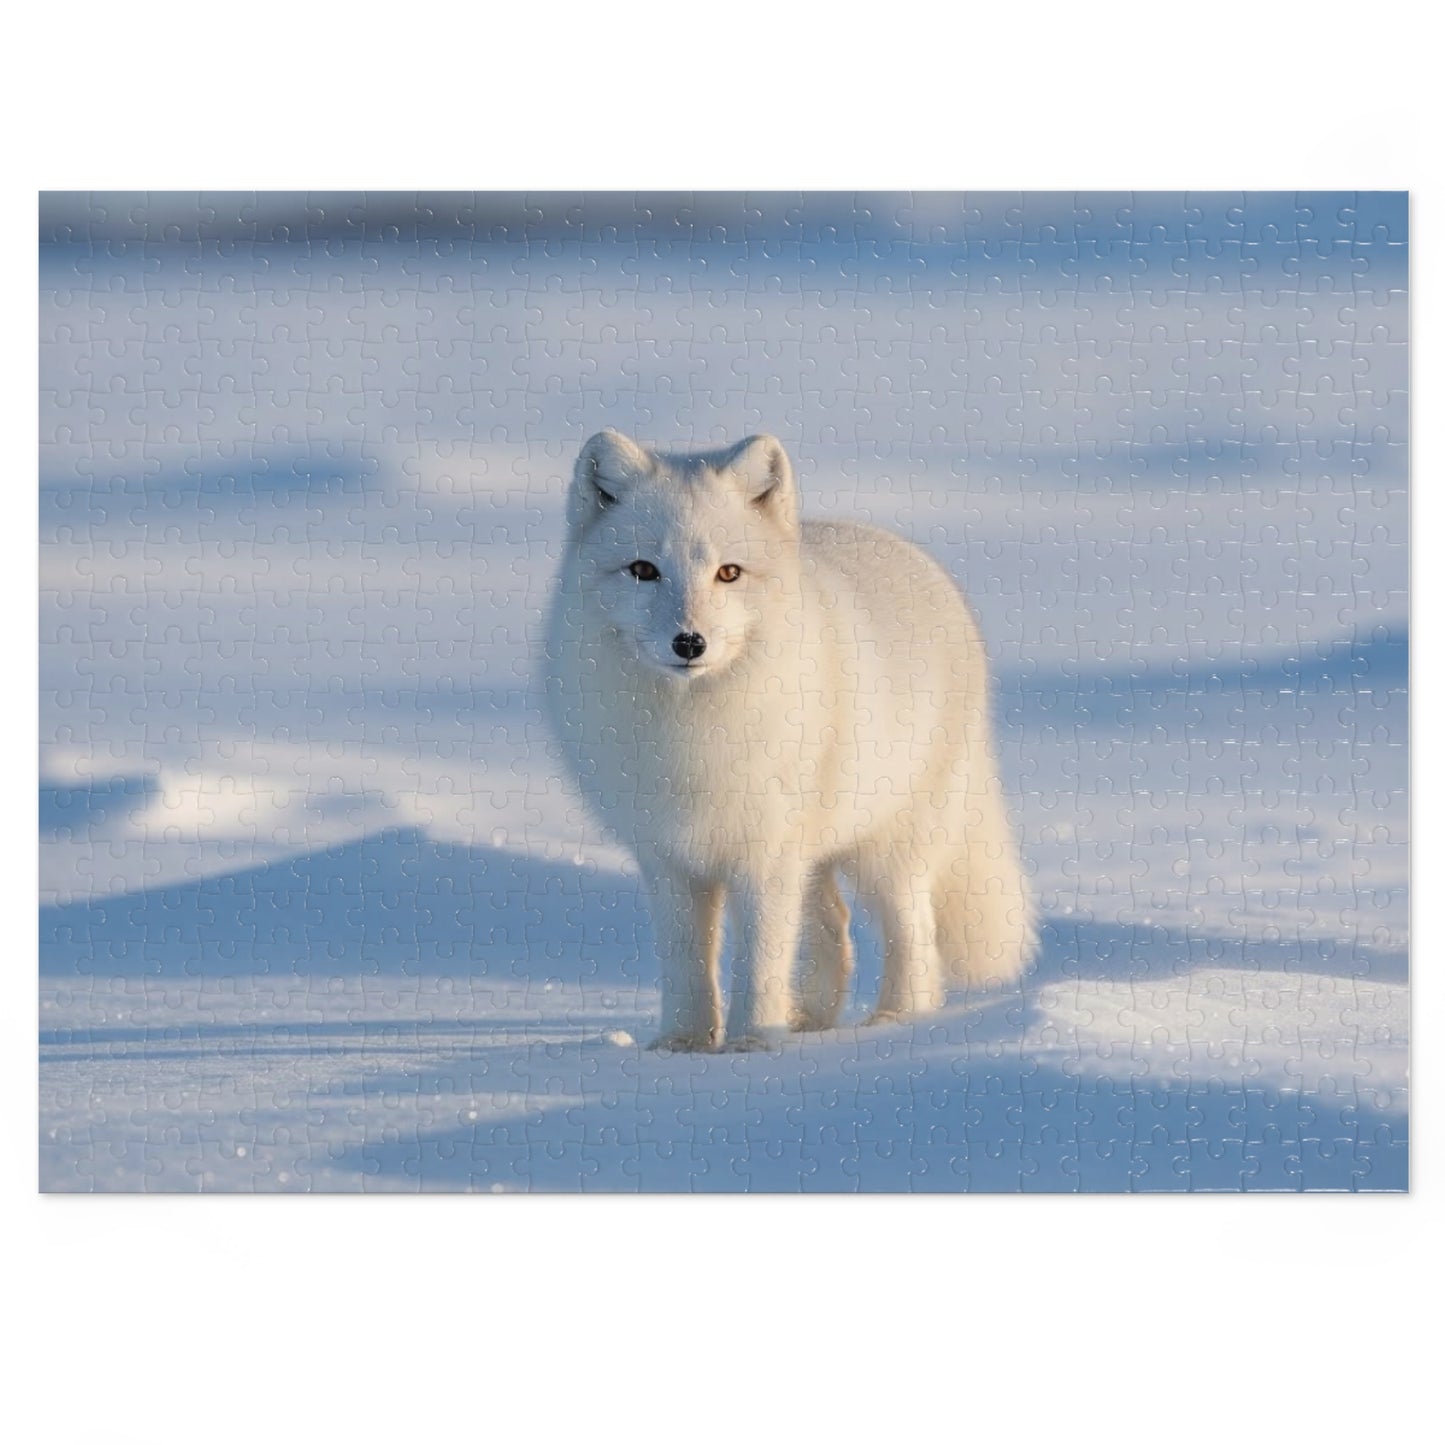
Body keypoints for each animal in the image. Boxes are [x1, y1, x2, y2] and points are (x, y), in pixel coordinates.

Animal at [543, 430, 1037, 1051]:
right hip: (815, 853)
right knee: (832, 925)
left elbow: (760, 958)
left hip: (888, 845)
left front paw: (752, 1043)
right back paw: (808, 1022)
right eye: (642, 569)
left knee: (913, 933)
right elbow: (688, 961)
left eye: (729, 573)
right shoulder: (669, 857)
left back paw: (895, 1022)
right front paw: (684, 1044)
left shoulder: (765, 854)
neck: (693, 727)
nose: (689, 642)